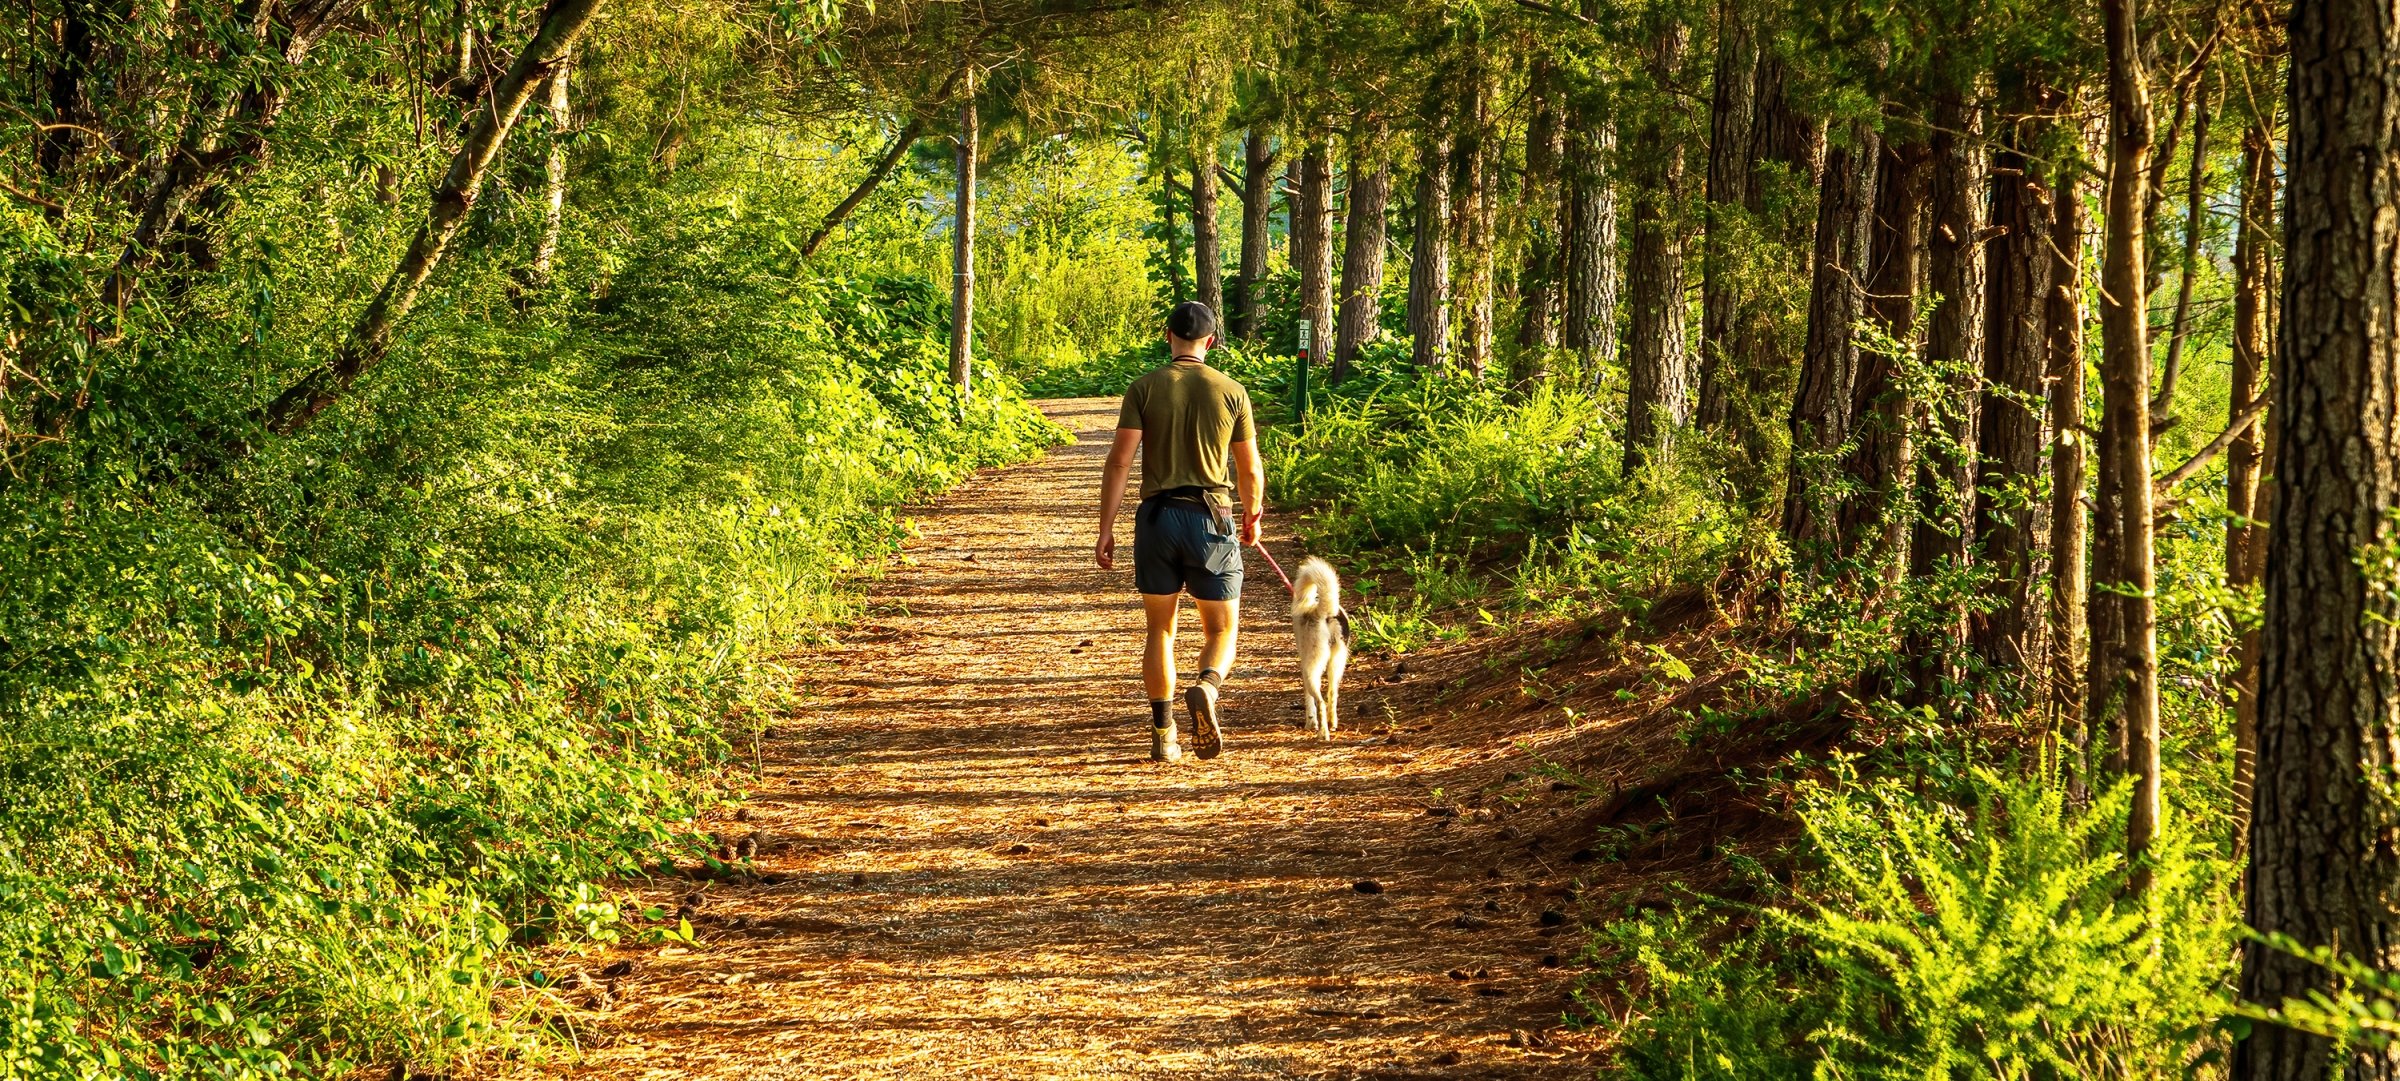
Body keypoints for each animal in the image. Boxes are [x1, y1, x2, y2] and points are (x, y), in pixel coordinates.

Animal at [1296, 557, 1353, 735]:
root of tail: (1325, 613)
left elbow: (1309, 701)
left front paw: (1310, 723)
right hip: (1337, 662)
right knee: (1332, 694)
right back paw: (1332, 723)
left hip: (1312, 668)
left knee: (1320, 701)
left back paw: (1323, 733)